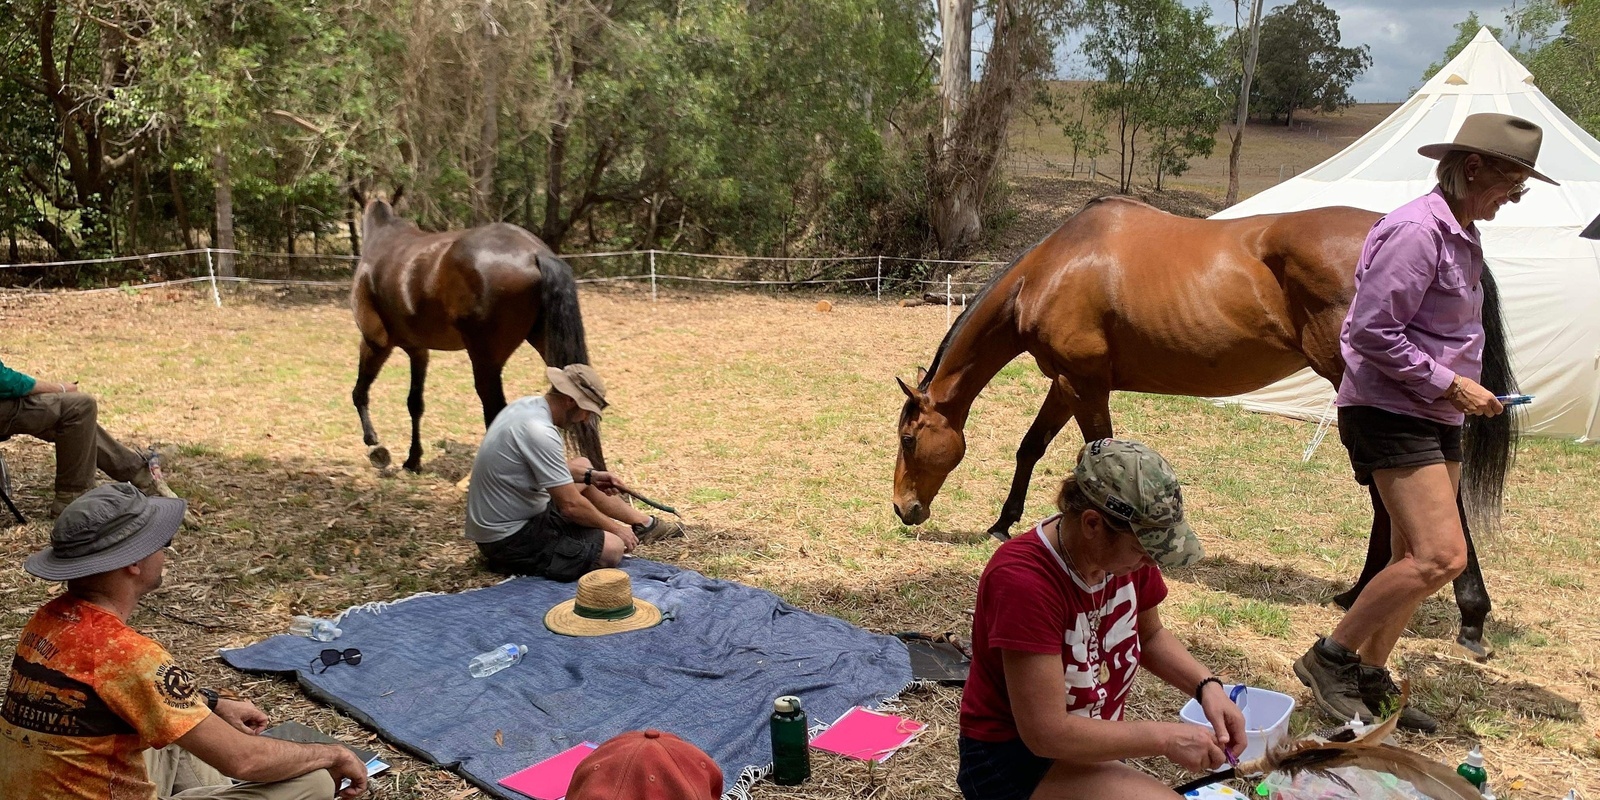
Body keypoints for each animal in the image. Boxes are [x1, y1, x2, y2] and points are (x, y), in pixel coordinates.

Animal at [348, 191, 601, 470]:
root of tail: (535, 252)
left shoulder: (375, 342)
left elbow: (360, 392)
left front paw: (373, 442)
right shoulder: (418, 350)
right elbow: (415, 403)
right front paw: (413, 459)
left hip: (484, 361)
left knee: (495, 410)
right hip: (551, 349)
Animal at [896, 196, 1504, 659]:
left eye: (907, 438)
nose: (905, 509)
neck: (1054, 268)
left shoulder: (1083, 385)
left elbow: (1095, 456)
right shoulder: (1066, 383)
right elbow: (1031, 447)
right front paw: (1003, 523)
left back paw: (1466, 614)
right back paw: (1359, 594)